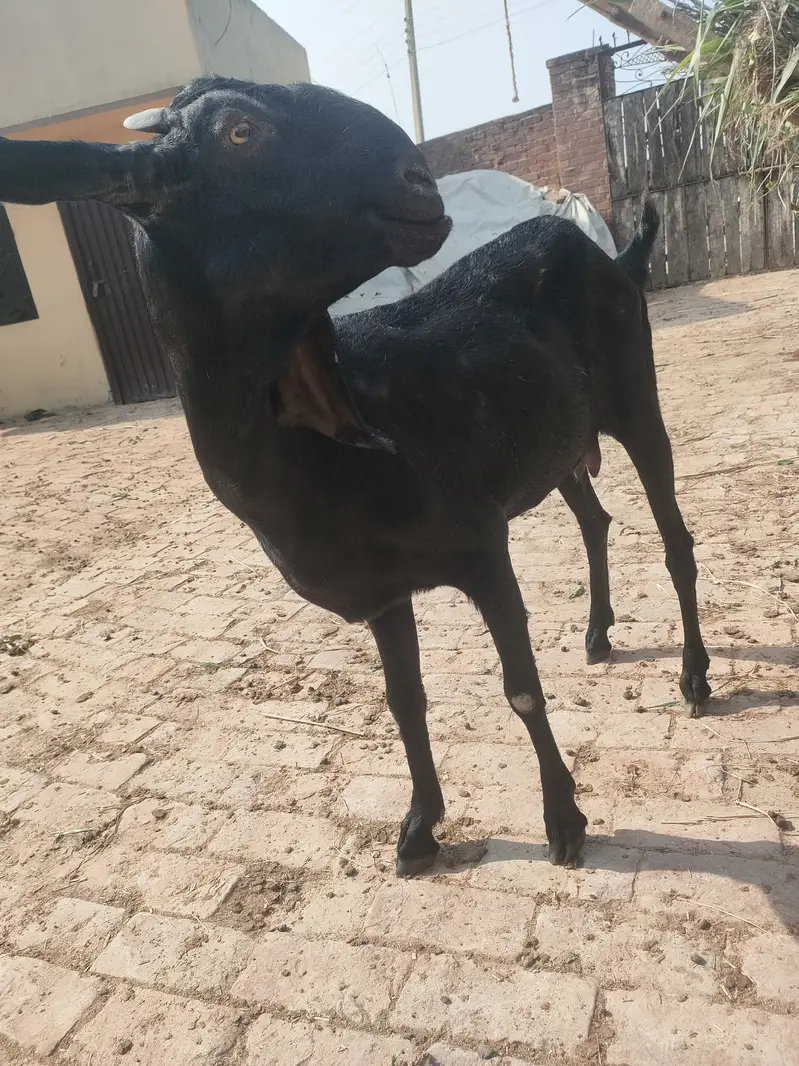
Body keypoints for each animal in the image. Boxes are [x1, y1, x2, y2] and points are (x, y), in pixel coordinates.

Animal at [0, 78, 711, 876]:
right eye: (239, 132)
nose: (417, 181)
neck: (319, 464)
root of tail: (614, 258)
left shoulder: (481, 548)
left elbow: (522, 690)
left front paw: (563, 821)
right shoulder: (383, 591)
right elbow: (404, 701)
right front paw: (419, 829)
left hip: (634, 395)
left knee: (674, 540)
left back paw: (694, 677)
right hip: (556, 442)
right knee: (593, 518)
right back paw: (596, 634)